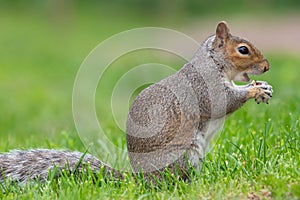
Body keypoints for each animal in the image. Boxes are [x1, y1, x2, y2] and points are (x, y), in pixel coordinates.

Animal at [0, 21, 272, 184]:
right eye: (243, 50)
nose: (267, 67)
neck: (214, 63)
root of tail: (142, 179)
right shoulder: (206, 88)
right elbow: (225, 101)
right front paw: (253, 90)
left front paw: (263, 88)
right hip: (184, 155)